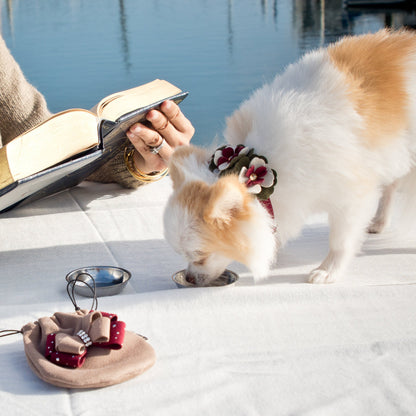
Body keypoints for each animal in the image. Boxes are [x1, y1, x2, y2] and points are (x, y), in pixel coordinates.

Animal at [164, 29, 416, 284]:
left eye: (200, 256)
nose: (189, 277)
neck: (265, 161)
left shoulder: (351, 194)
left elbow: (340, 241)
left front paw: (328, 270)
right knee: (391, 185)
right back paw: (380, 221)